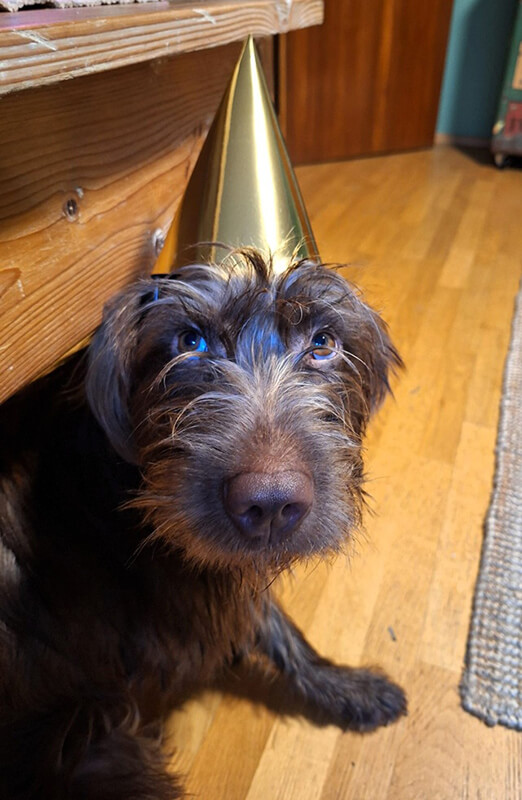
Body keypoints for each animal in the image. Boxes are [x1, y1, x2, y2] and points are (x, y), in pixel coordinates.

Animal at [0, 250, 406, 799]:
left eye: (323, 343)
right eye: (189, 342)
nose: (270, 504)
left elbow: (276, 625)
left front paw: (344, 687)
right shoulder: (88, 739)